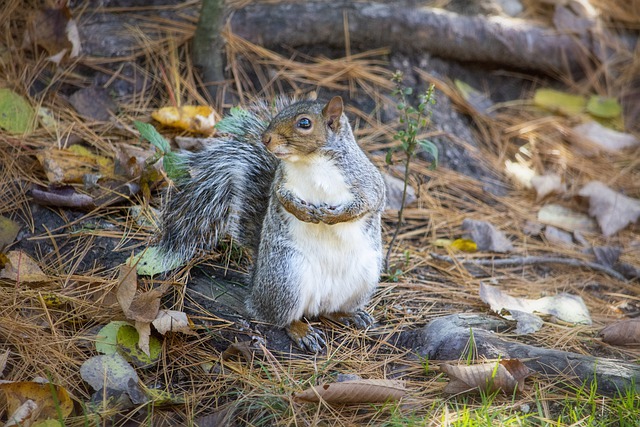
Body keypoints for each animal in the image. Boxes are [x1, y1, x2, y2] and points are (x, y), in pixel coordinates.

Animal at [156, 97, 384, 354]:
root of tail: (254, 294)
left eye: (304, 123)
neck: (310, 161)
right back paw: (302, 331)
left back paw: (349, 315)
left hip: (364, 277)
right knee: (282, 318)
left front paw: (332, 216)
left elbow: (371, 201)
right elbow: (281, 198)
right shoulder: (280, 182)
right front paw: (302, 211)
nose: (265, 138)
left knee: (329, 311)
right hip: (286, 277)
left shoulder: (366, 180)